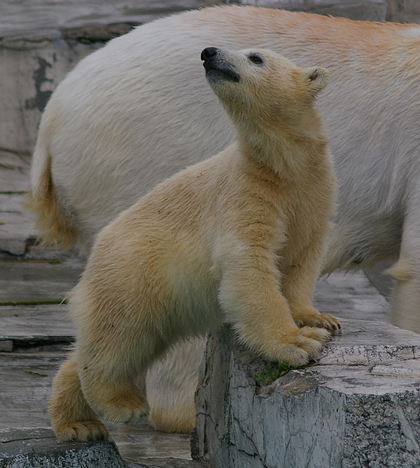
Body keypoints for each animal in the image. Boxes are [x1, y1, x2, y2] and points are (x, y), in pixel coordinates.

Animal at [31, 5, 420, 434]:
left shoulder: (314, 196)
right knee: (131, 334)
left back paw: (79, 420)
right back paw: (144, 407)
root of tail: (52, 115)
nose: (210, 53)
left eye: (257, 57)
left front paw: (317, 317)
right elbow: (251, 264)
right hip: (140, 173)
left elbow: (306, 256)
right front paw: (298, 343)